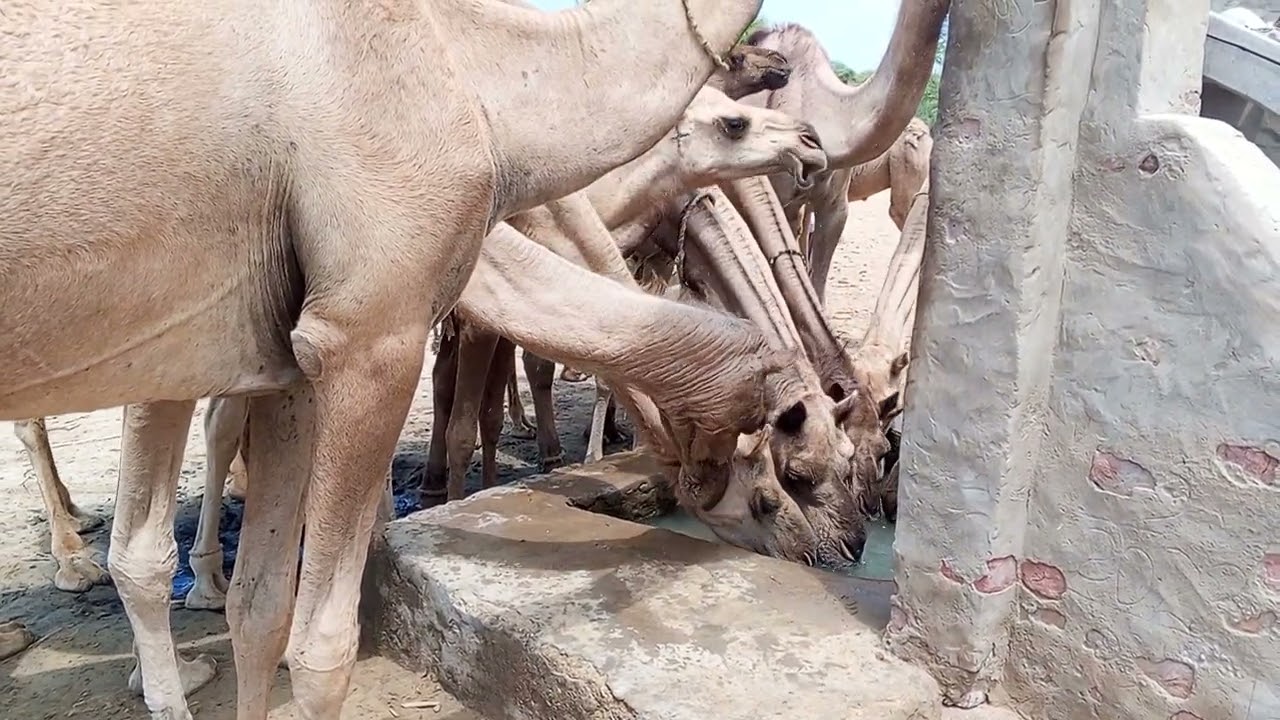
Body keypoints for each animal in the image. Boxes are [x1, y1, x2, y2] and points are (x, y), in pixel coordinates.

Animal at [0, 0, 763, 717]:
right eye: (736, 121)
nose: (709, 490)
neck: (479, 75)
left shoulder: (285, 360)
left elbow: (259, 608)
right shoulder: (368, 335)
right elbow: (317, 647)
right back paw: (74, 567)